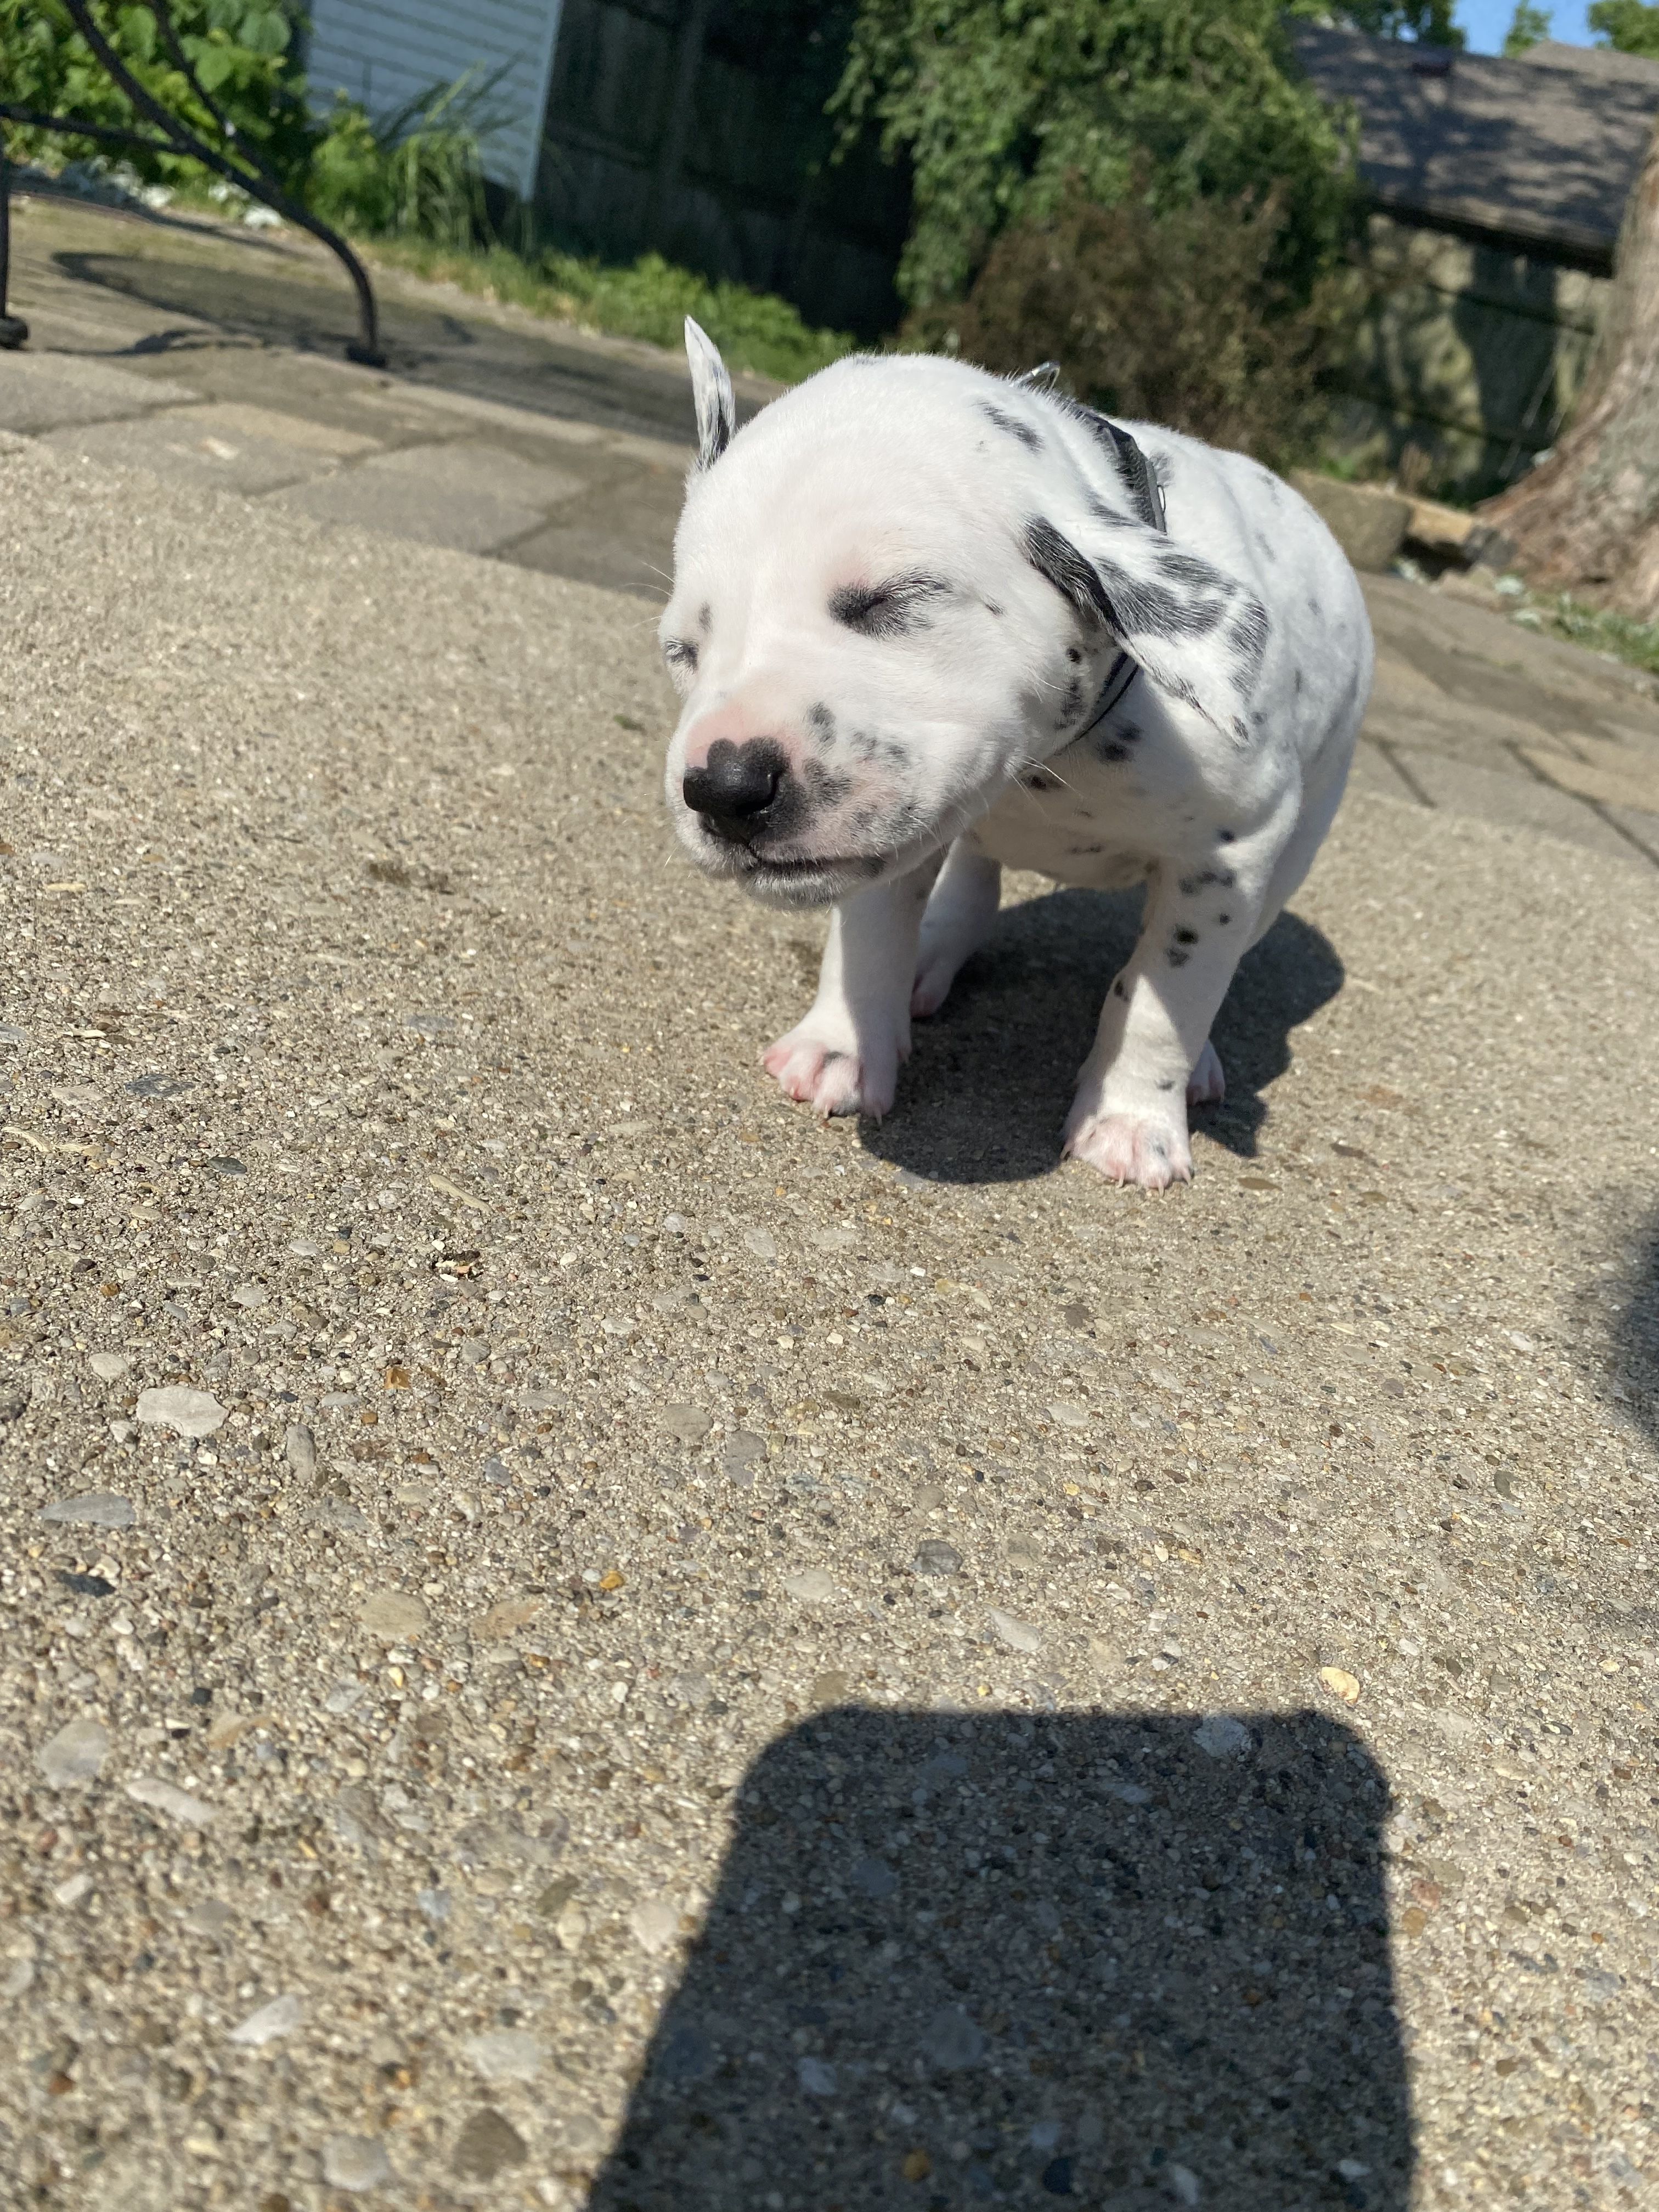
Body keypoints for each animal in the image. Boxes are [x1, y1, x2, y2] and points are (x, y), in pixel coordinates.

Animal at [659, 319, 1373, 1189]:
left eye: (894, 601)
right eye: (683, 651)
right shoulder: (887, 833)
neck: (1055, 758)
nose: (723, 787)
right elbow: (871, 933)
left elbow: (1165, 991)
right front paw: (843, 1044)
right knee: (974, 878)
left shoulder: (1230, 857)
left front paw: (1133, 1119)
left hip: (1295, 851)